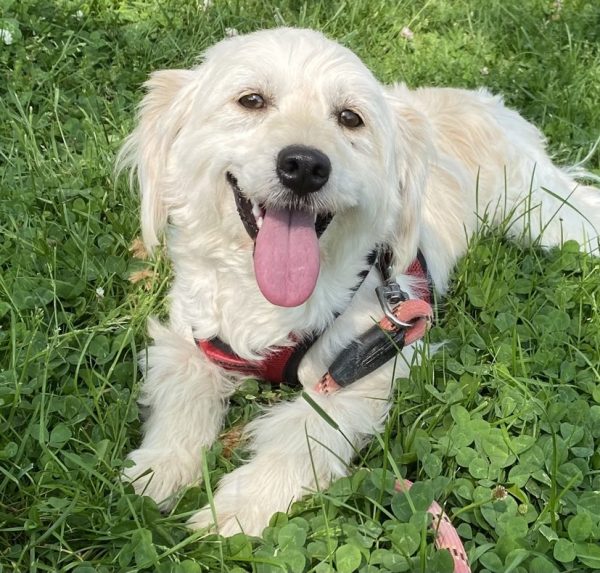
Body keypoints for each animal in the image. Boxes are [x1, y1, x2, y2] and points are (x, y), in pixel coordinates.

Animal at [118, 26, 600, 536]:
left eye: (350, 118)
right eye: (251, 100)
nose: (304, 166)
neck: (267, 299)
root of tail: (485, 101)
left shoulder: (379, 353)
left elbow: (306, 428)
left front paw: (243, 503)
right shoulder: (189, 338)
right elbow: (183, 398)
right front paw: (160, 468)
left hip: (546, 216)